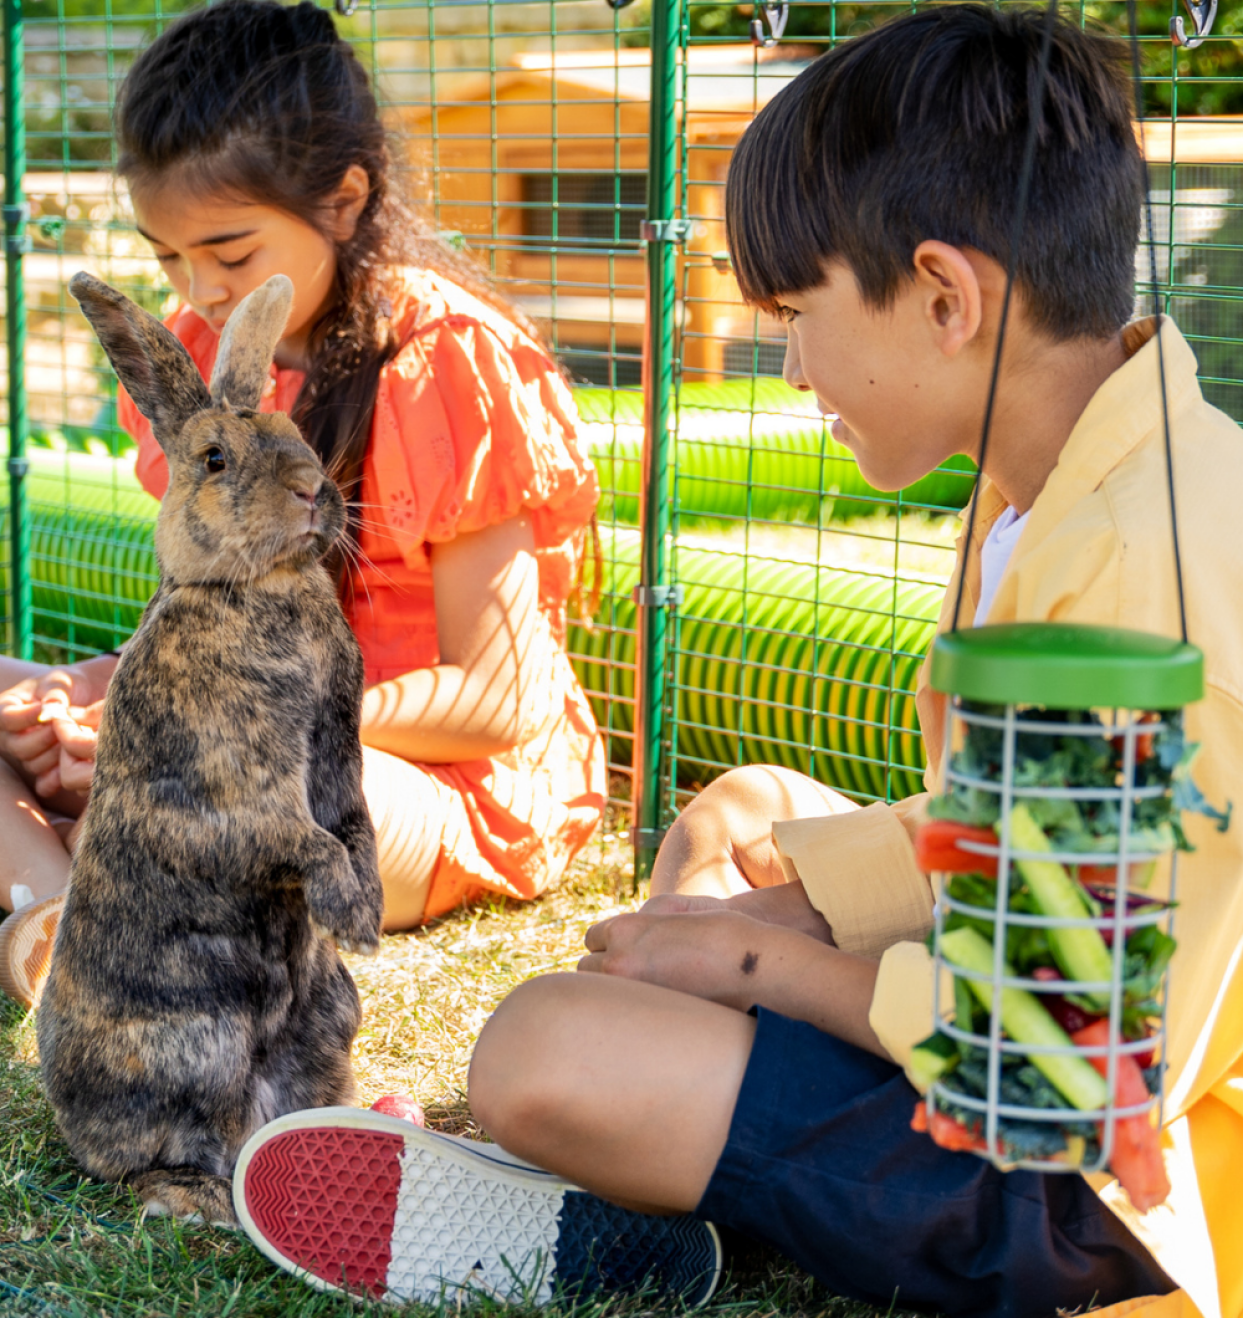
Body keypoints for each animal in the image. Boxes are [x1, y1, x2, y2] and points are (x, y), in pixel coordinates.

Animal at [36, 272, 384, 1226]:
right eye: (215, 460)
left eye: (298, 436)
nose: (312, 490)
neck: (258, 585)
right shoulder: (234, 806)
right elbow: (304, 842)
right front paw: (352, 915)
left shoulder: (339, 768)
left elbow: (354, 830)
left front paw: (370, 909)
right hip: (194, 1045)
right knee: (157, 1152)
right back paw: (197, 1201)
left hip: (329, 1016)